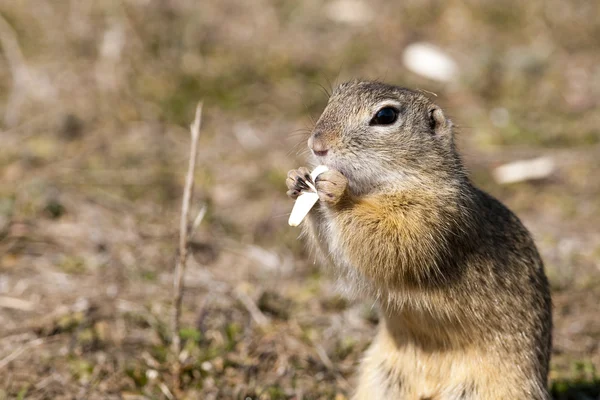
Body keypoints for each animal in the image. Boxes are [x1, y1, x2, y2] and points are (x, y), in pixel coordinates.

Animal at [286, 81, 552, 400]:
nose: (317, 145)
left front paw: (337, 192)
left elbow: (391, 244)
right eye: (336, 94)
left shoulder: (432, 220)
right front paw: (296, 177)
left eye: (385, 116)